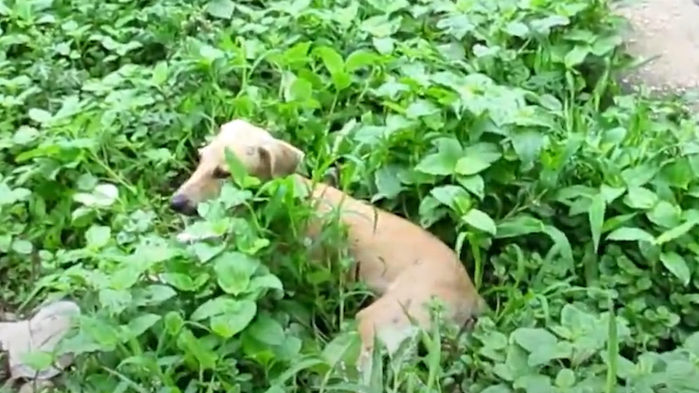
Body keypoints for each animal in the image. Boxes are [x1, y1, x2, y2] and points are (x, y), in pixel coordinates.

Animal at [170, 118, 486, 374]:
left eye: (223, 173)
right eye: (200, 158)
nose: (175, 203)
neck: (283, 196)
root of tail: (472, 295)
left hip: (380, 319)